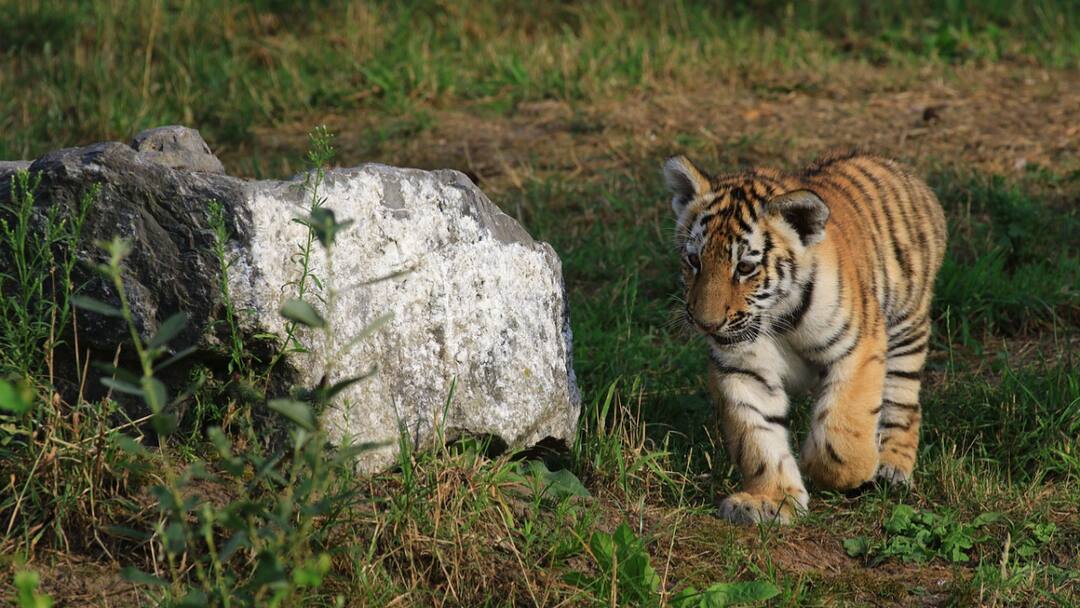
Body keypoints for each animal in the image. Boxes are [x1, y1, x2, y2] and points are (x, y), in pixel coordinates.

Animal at [664, 151, 946, 524]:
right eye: (694, 260)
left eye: (745, 268)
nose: (706, 324)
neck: (777, 316)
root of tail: (896, 166)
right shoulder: (743, 370)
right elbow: (757, 438)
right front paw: (771, 501)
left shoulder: (859, 348)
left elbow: (844, 431)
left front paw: (837, 469)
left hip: (906, 326)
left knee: (904, 402)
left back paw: (891, 467)